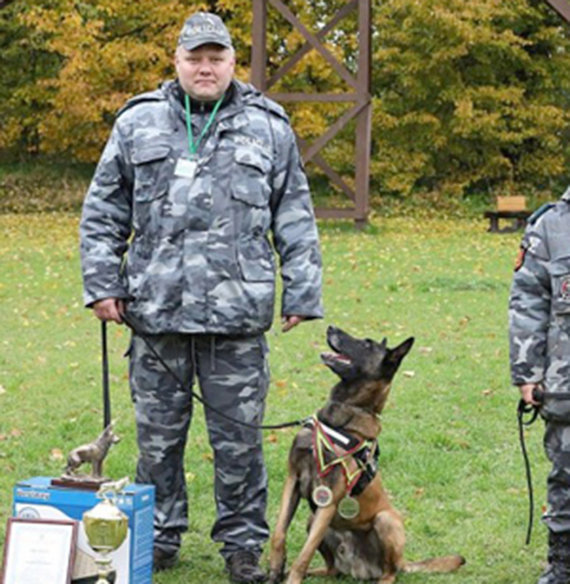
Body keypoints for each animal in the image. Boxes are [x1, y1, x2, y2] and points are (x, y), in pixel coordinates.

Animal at [268, 326, 464, 584]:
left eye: (367, 344)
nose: (330, 327)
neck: (343, 414)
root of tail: (358, 569)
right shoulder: (293, 479)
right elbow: (279, 532)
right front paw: (275, 569)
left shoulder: (329, 499)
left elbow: (305, 553)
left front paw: (291, 577)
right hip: (313, 521)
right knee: (332, 570)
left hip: (385, 521)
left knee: (391, 573)